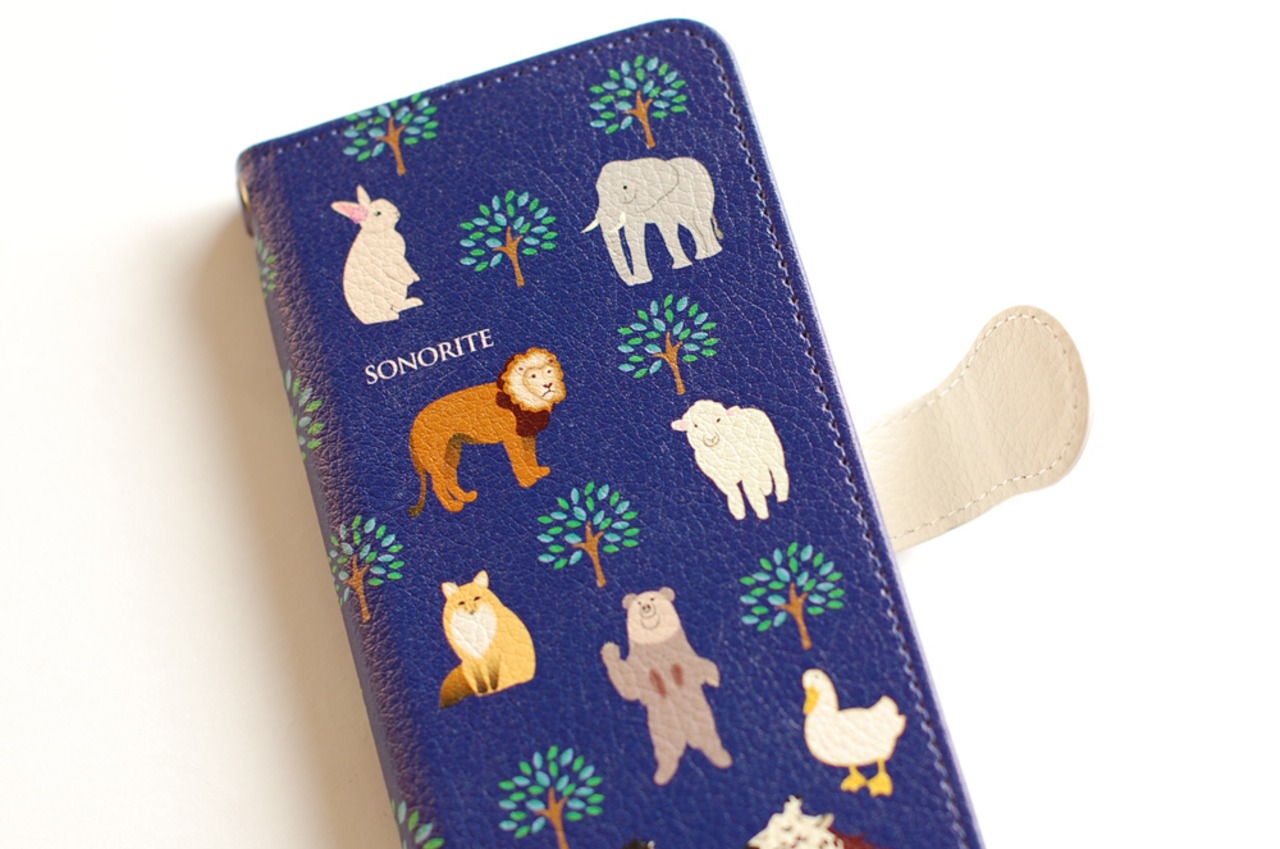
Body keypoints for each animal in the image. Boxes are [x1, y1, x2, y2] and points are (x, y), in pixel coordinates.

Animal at [408, 347, 566, 515]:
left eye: (548, 371)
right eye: (533, 375)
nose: (548, 385)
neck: (524, 399)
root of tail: (414, 425)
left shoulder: (528, 434)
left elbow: (530, 456)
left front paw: (536, 472)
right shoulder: (511, 437)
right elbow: (519, 459)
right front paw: (527, 481)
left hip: (452, 450)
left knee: (449, 477)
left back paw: (465, 497)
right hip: (434, 456)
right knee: (438, 484)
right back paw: (453, 506)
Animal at [583, 157, 723, 285]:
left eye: (625, 187)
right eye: (598, 192)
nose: (632, 282)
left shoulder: (662, 199)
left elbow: (664, 228)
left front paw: (681, 266)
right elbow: (632, 235)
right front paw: (643, 280)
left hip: (703, 192)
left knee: (701, 221)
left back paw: (712, 253)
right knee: (690, 225)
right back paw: (703, 255)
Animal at [600, 588, 733, 785]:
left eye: (653, 598)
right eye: (639, 603)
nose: (646, 607)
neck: (656, 644)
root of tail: (686, 737)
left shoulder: (688, 657)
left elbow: (702, 666)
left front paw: (714, 679)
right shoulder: (638, 669)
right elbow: (628, 685)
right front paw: (609, 650)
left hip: (701, 719)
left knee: (708, 738)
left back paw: (721, 757)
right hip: (662, 731)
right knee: (667, 752)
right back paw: (663, 774)